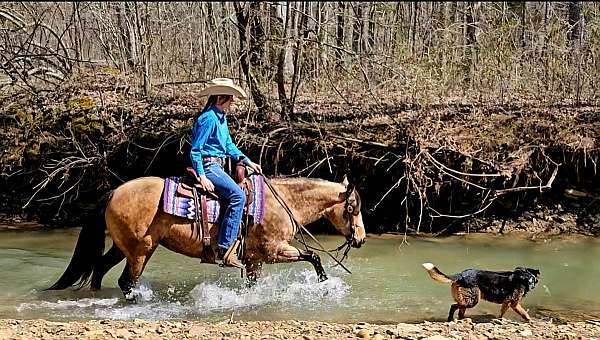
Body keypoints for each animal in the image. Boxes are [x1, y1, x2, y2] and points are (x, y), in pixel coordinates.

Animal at [47, 175, 366, 300]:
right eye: (353, 208)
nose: (361, 238)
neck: (283, 202)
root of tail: (114, 192)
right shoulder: (274, 250)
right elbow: (314, 256)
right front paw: (324, 284)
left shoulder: (255, 260)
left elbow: (252, 285)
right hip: (141, 251)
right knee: (127, 282)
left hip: (122, 247)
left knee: (99, 268)